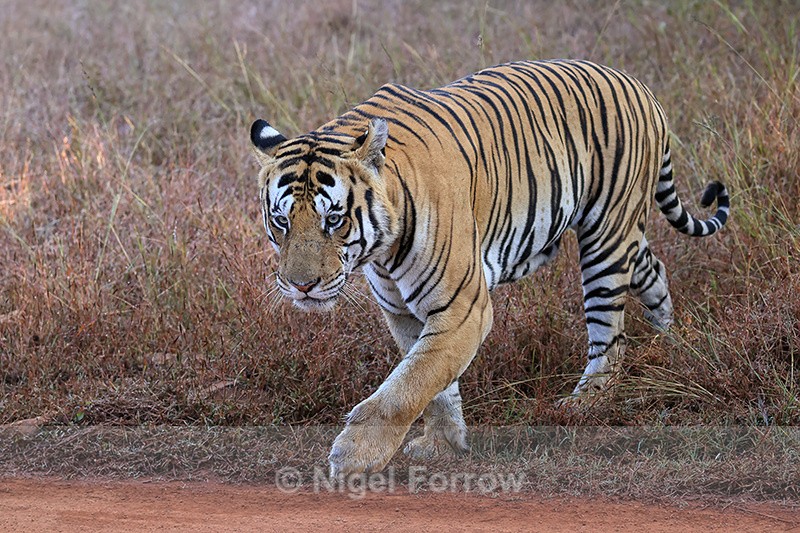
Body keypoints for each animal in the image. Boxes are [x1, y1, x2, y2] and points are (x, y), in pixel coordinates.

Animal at [249, 59, 730, 478]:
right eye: (281, 220)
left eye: (334, 219)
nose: (301, 286)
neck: (381, 251)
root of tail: (638, 86)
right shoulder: (403, 312)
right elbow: (432, 382)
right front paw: (444, 443)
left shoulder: (465, 308)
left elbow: (409, 384)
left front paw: (355, 454)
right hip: (625, 233)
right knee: (654, 271)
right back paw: (671, 344)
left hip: (606, 239)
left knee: (610, 336)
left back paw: (585, 401)